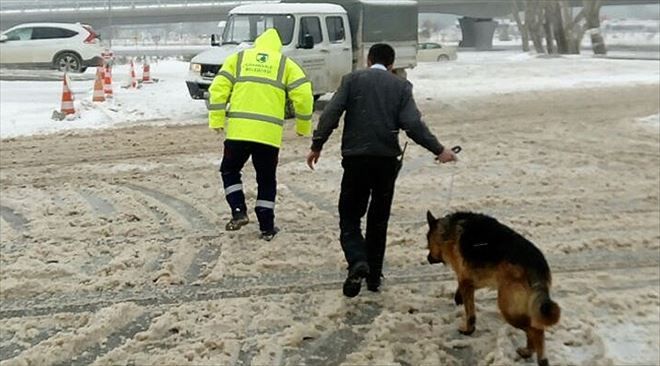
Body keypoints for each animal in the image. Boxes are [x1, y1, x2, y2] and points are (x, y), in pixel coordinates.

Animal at [426, 212, 560, 366]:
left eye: (428, 242)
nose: (428, 258)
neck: (446, 231)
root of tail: (536, 263)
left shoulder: (466, 280)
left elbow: (470, 313)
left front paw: (468, 329)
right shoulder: (473, 280)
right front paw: (458, 298)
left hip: (508, 307)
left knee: (535, 330)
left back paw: (535, 355)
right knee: (534, 328)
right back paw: (529, 352)